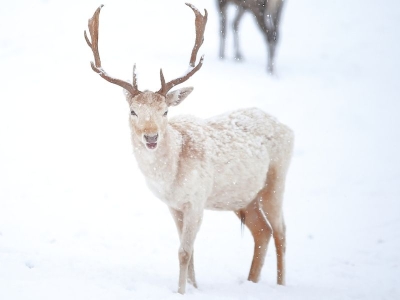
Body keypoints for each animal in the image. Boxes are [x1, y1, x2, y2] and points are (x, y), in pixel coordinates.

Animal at [83, 2, 294, 294]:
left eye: (166, 111)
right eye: (133, 111)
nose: (151, 137)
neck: (170, 177)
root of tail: (287, 128)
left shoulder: (197, 200)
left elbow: (184, 251)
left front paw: (182, 290)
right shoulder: (174, 205)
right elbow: (191, 252)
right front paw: (194, 287)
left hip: (276, 180)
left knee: (281, 231)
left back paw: (281, 285)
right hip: (244, 196)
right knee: (262, 231)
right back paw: (252, 281)